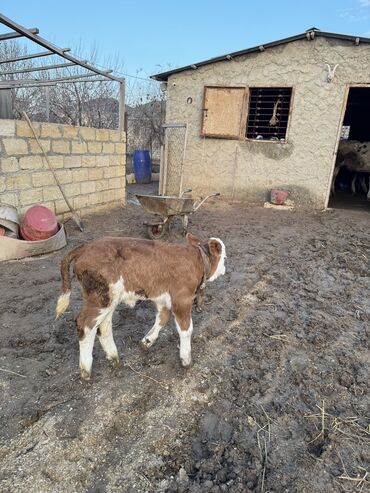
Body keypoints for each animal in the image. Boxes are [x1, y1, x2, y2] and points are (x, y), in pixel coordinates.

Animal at [55, 233, 225, 378]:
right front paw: (186, 359)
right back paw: (86, 369)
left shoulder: (163, 299)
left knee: (103, 326)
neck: (197, 261)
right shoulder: (181, 299)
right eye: (224, 257)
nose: (224, 269)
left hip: (109, 299)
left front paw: (147, 342)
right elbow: (186, 329)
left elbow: (162, 318)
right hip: (99, 298)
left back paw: (114, 358)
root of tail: (85, 247)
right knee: (85, 324)